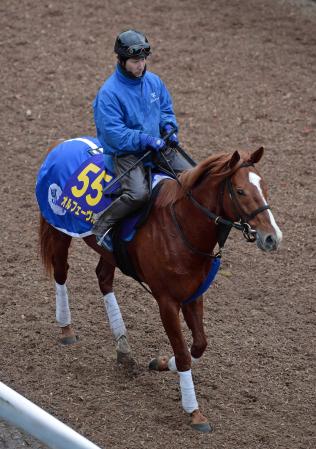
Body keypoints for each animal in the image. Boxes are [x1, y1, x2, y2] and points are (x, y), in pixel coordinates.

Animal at [38, 146, 282, 430]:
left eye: (264, 187)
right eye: (241, 191)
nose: (272, 237)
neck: (181, 227)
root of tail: (60, 147)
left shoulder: (193, 295)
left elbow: (199, 345)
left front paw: (163, 362)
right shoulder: (166, 301)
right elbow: (185, 353)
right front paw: (194, 411)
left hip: (110, 253)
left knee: (104, 279)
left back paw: (123, 347)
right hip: (58, 228)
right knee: (61, 272)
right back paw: (66, 329)